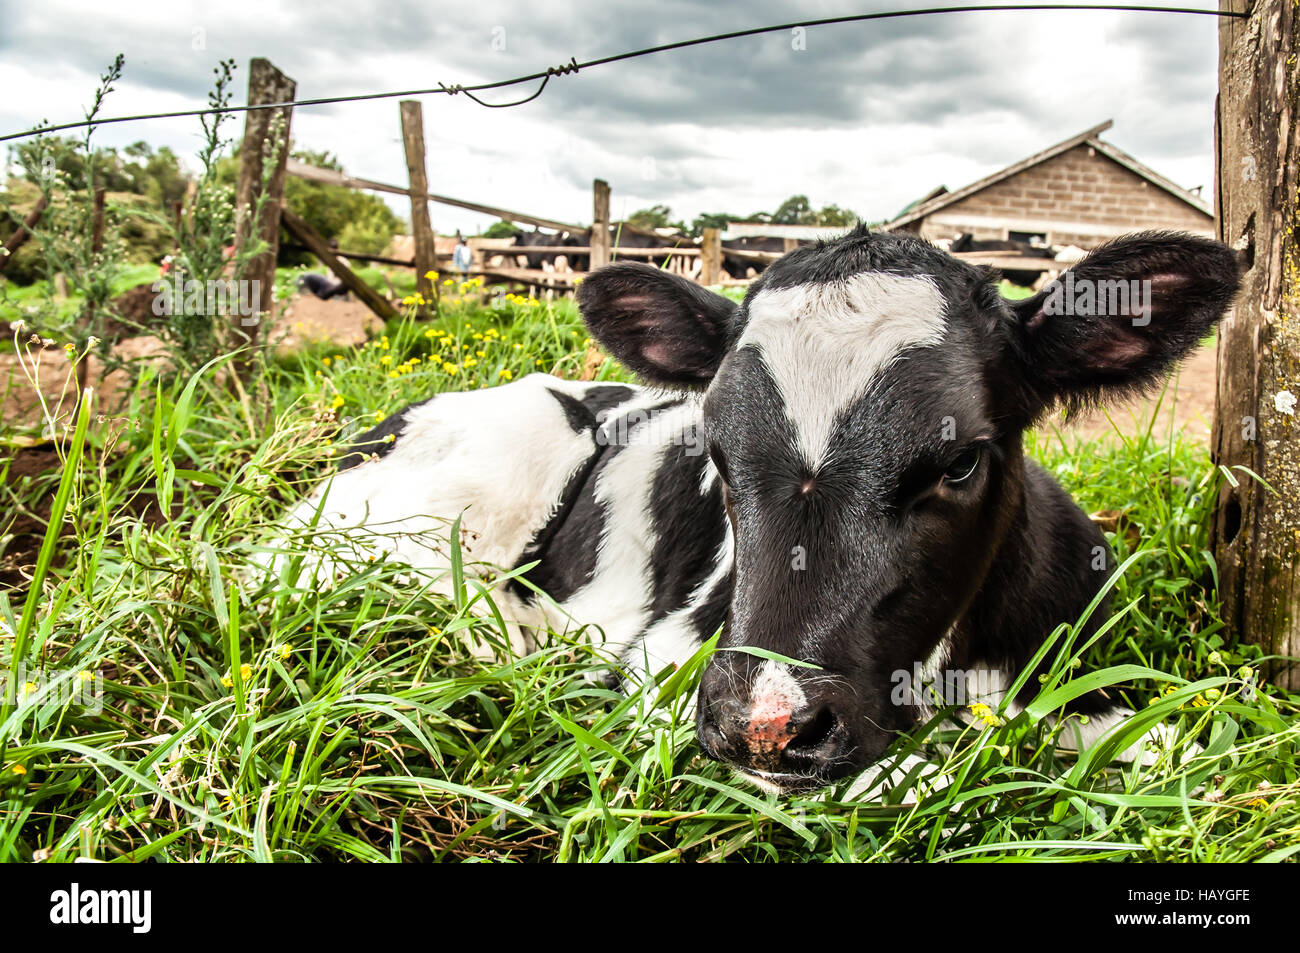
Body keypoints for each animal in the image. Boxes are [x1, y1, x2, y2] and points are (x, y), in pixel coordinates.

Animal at [276, 226, 1237, 790]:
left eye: (960, 458)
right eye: (717, 452)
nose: (763, 726)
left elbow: (1187, 750)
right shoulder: (668, 662)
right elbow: (918, 776)